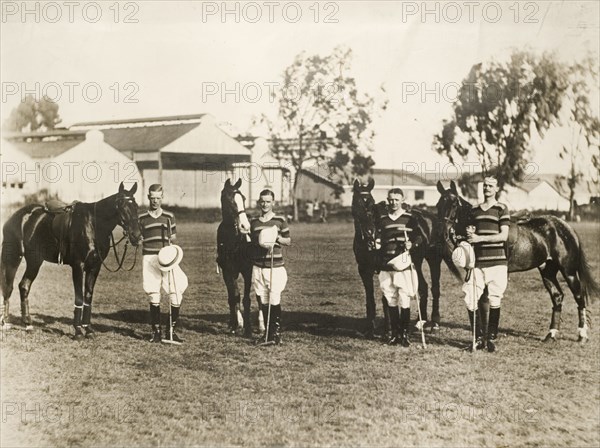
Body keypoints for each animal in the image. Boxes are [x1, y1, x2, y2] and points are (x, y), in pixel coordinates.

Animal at [0, 182, 142, 340]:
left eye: (136, 206)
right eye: (121, 205)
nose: (137, 236)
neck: (93, 225)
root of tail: (17, 216)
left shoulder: (94, 267)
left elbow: (88, 297)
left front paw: (88, 329)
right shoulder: (78, 266)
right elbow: (79, 298)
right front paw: (78, 331)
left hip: (34, 261)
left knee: (23, 286)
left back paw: (27, 324)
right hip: (16, 258)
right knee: (9, 287)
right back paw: (6, 322)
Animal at [217, 178, 262, 336]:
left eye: (243, 199)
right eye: (228, 199)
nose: (245, 226)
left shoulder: (247, 271)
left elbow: (246, 299)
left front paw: (248, 329)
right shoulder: (227, 272)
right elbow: (233, 297)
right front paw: (233, 325)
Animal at [350, 179, 462, 340]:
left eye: (370, 203)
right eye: (356, 203)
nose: (369, 233)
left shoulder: (385, 267)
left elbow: (386, 299)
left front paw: (389, 331)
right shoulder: (364, 270)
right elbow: (370, 299)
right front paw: (370, 328)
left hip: (433, 260)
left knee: (435, 288)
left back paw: (434, 323)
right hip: (416, 263)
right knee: (423, 287)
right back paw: (420, 321)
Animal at [436, 180, 600, 342]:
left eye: (454, 204)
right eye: (438, 205)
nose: (444, 233)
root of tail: (566, 227)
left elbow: (485, 302)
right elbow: (480, 303)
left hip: (569, 271)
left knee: (579, 297)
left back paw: (582, 335)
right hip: (548, 271)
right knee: (557, 297)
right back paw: (551, 334)